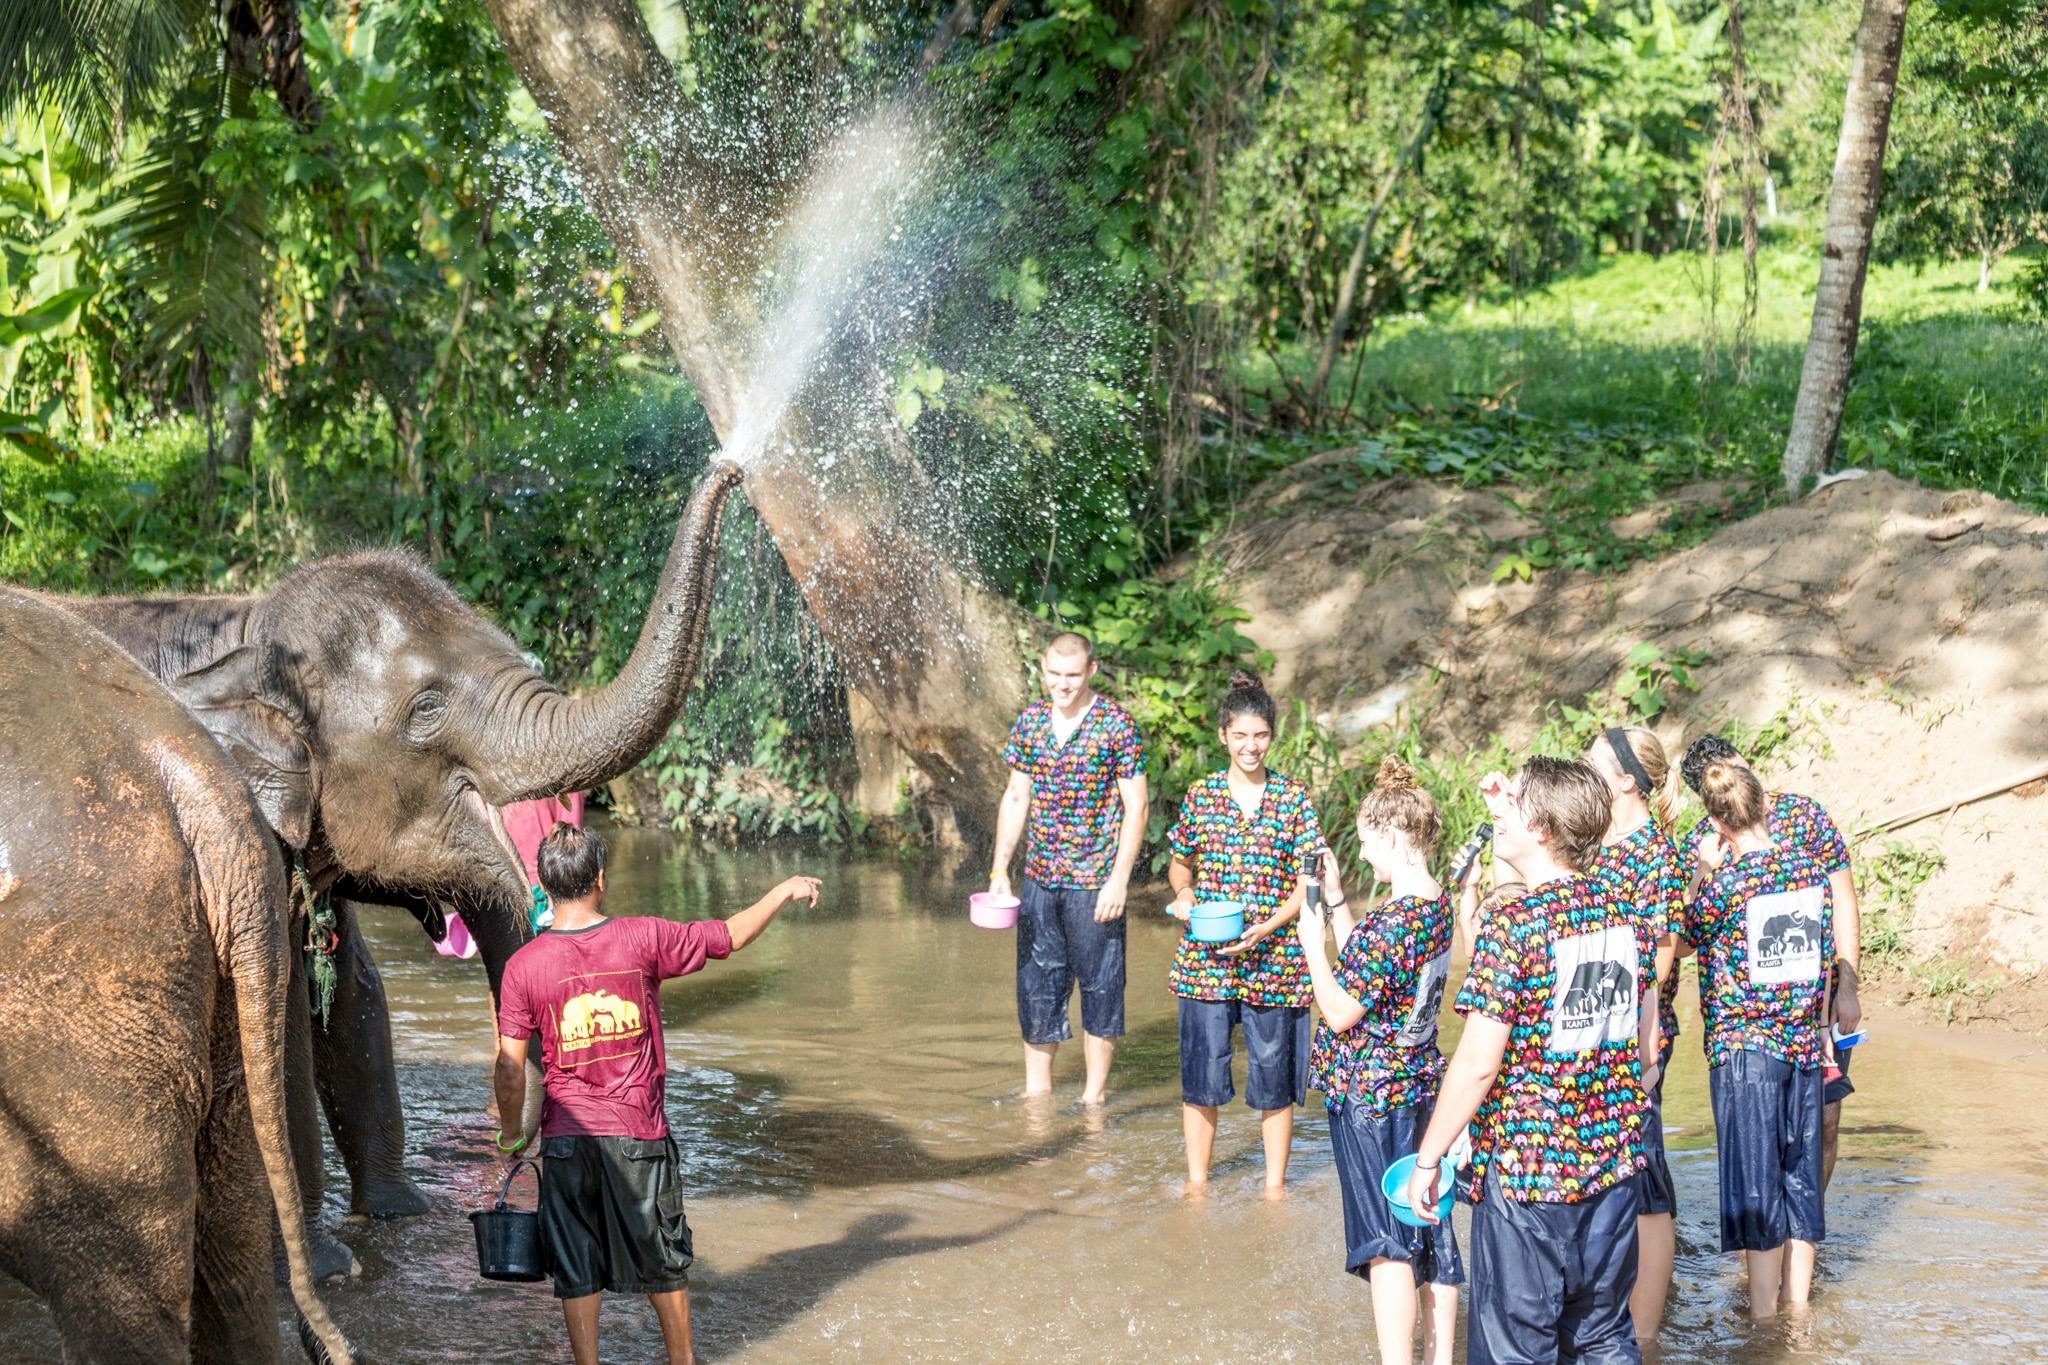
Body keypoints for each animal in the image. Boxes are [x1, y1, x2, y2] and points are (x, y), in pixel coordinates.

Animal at [27, 459, 743, 1243]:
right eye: (426, 707)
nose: (728, 467)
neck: (246, 628)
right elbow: (283, 1022)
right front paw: (327, 1257)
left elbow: (354, 995)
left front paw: (401, 1215)